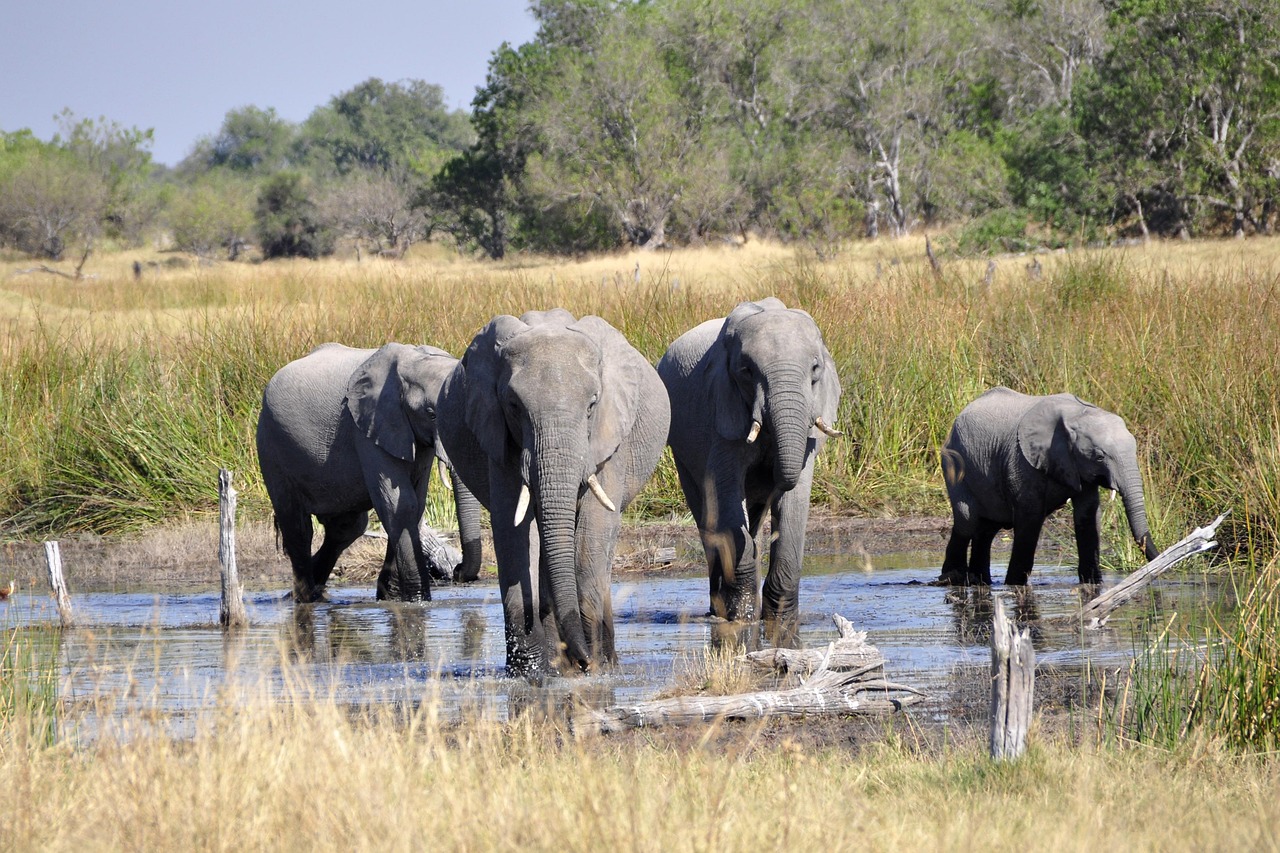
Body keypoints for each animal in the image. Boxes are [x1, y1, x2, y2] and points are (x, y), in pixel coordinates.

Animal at [256, 342, 483, 603]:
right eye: (431, 413)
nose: (456, 571)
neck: (415, 359)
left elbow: (415, 503)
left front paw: (391, 599)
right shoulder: (367, 425)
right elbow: (400, 504)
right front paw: (416, 601)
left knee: (346, 528)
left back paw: (306, 594)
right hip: (271, 446)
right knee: (298, 526)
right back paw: (305, 598)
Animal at [437, 309, 670, 678]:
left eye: (591, 406)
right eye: (514, 406)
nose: (582, 660)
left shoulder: (608, 438)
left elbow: (592, 533)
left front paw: (594, 668)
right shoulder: (499, 438)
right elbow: (514, 531)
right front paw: (530, 672)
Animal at [657, 298, 843, 644]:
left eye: (815, 370)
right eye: (746, 371)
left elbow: (796, 497)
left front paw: (781, 620)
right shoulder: (722, 411)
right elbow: (727, 491)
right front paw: (741, 618)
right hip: (681, 451)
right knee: (708, 515)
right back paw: (719, 606)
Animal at [939, 386, 1160, 586]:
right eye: (1099, 456)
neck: (1077, 414)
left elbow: (1088, 516)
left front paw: (1093, 584)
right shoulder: (1021, 460)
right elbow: (1030, 516)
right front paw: (1014, 585)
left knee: (986, 529)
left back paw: (980, 581)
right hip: (954, 463)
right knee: (967, 520)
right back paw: (953, 579)